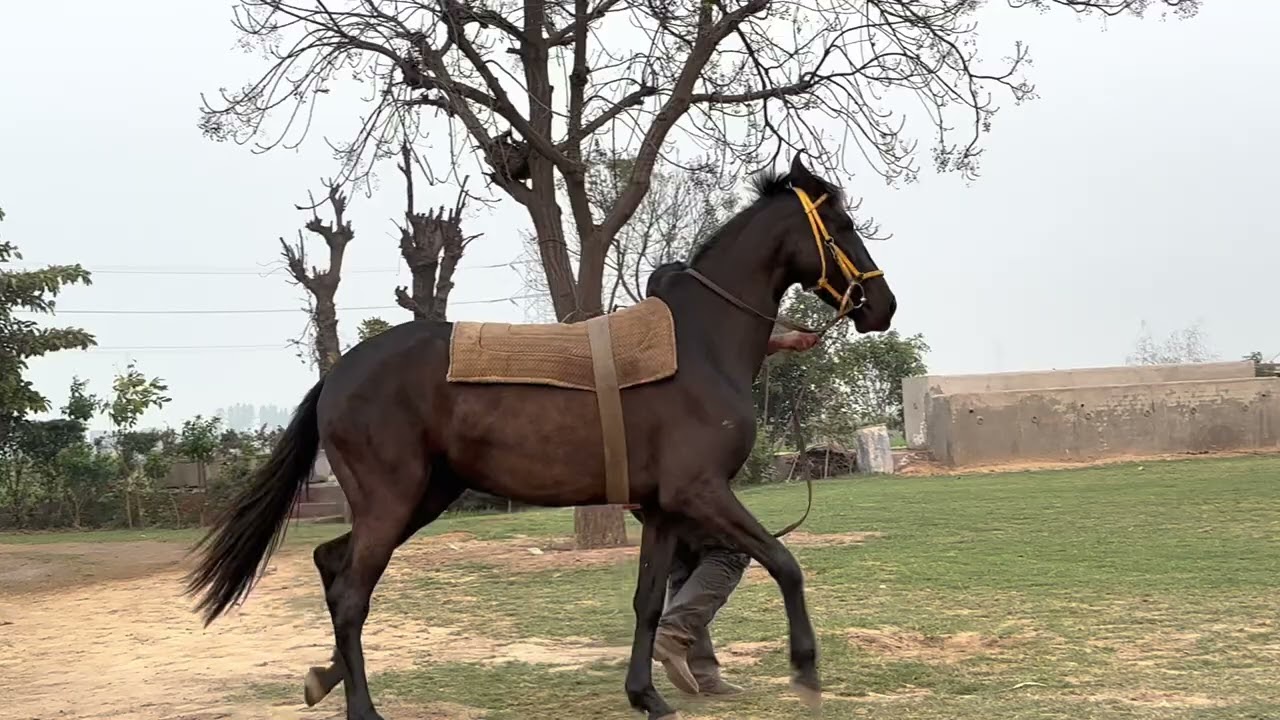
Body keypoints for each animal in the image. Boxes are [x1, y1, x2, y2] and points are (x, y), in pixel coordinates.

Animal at [184, 153, 897, 720]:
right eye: (841, 225)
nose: (882, 306)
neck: (699, 345)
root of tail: (338, 374)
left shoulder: (663, 509)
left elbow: (647, 602)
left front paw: (647, 695)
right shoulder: (702, 492)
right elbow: (785, 562)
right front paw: (805, 670)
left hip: (421, 499)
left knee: (333, 567)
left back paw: (323, 677)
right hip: (392, 502)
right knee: (352, 594)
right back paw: (362, 708)